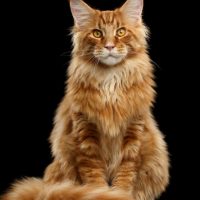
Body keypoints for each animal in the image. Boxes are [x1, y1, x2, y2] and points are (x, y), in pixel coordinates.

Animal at [1, 0, 170, 200]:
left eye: (121, 32)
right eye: (97, 33)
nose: (110, 46)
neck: (110, 80)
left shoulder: (134, 131)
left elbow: (126, 173)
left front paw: (121, 193)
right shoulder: (85, 132)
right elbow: (93, 175)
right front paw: (101, 193)